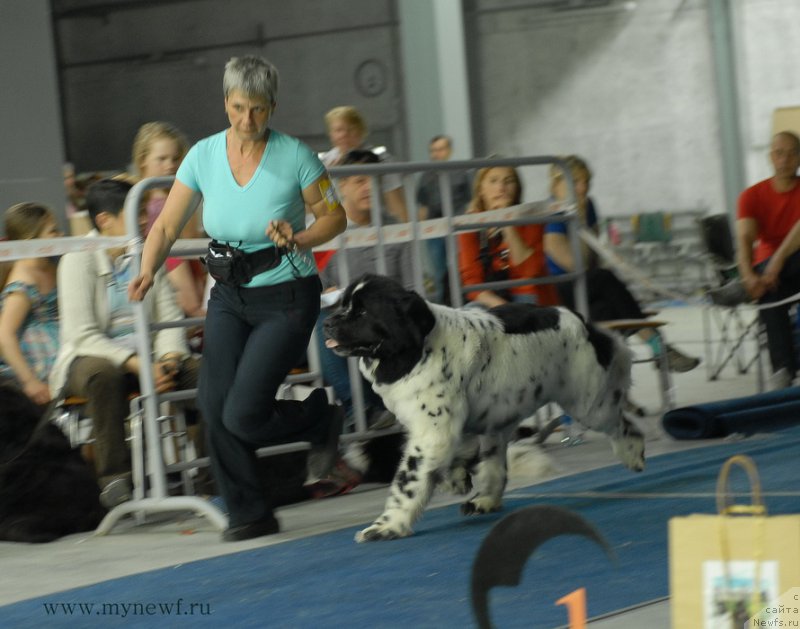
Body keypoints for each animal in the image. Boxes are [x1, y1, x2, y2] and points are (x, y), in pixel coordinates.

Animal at [324, 272, 644, 544]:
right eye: (343, 304)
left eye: (362, 312)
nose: (327, 322)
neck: (416, 350)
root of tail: (580, 320)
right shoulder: (455, 423)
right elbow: (456, 455)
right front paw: (455, 480)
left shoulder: (433, 432)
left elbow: (407, 482)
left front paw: (386, 526)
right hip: (499, 420)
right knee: (495, 465)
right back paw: (484, 500)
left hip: (588, 403)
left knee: (621, 423)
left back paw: (633, 454)